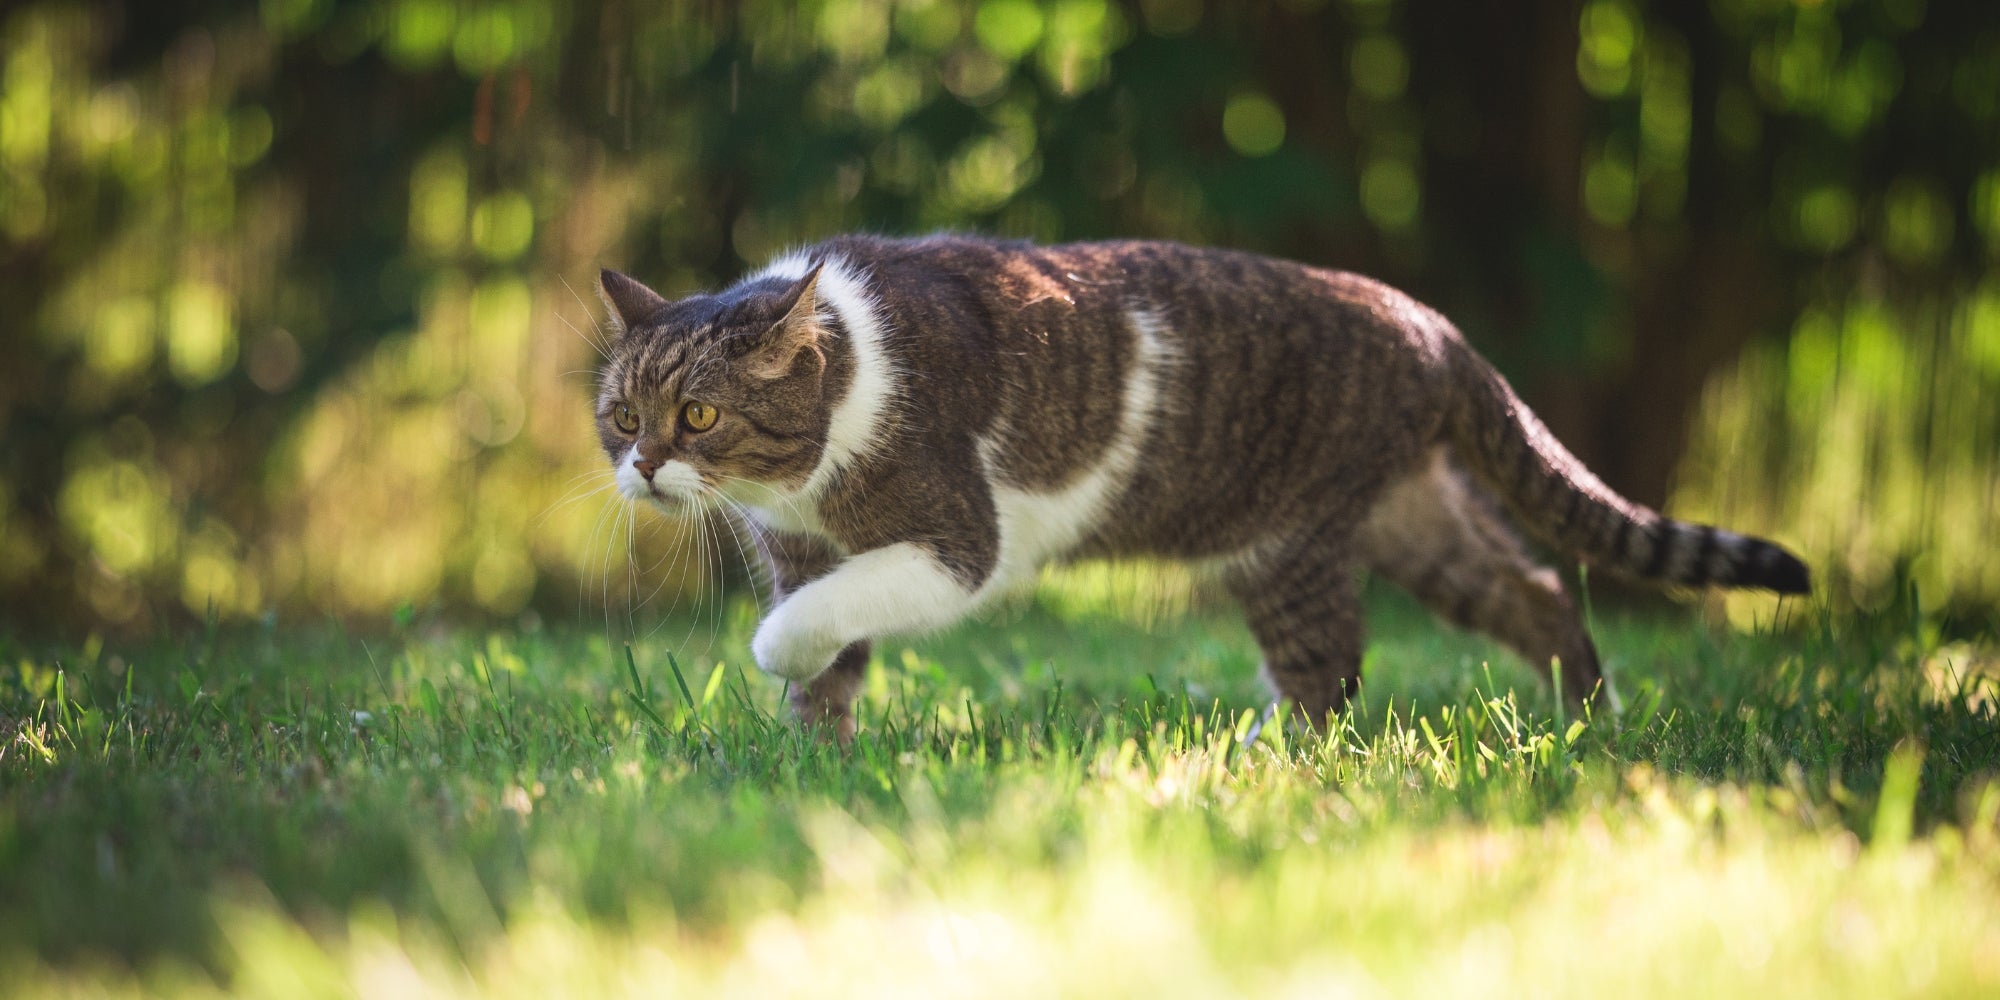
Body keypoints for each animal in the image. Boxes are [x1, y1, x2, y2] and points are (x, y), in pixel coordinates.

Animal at [596, 232, 1816, 736]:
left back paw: (1260, 756)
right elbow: (833, 656)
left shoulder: (955, 539)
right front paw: (818, 752)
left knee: (1329, 667)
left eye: (698, 415)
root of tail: (1432, 324)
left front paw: (778, 659)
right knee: (1536, 590)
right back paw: (1588, 724)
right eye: (620, 414)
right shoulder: (800, 543)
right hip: (1407, 509)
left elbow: (828, 612)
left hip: (1287, 539)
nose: (644, 465)